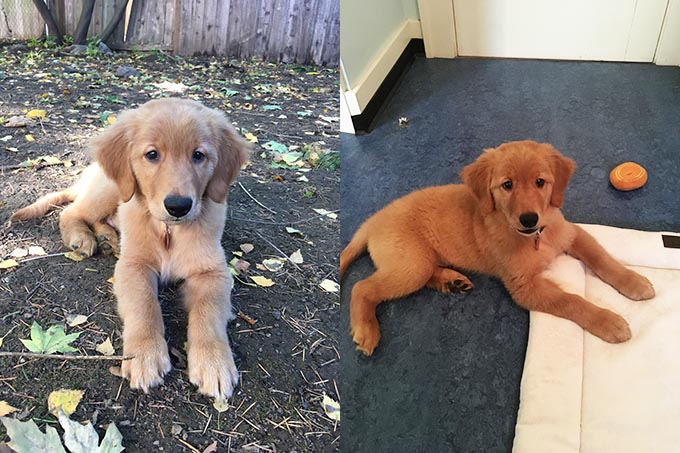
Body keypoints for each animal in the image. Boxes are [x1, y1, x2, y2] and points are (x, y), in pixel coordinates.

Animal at [11, 99, 251, 400]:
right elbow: (143, 304)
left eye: (199, 155)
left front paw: (214, 362)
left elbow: (208, 312)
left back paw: (107, 238)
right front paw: (145, 355)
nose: (178, 206)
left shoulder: (213, 271)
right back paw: (83, 238)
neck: (168, 232)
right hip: (109, 190)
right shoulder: (133, 265)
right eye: (152, 154)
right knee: (71, 211)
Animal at [342, 141, 656, 356]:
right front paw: (608, 321)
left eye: (540, 182)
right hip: (410, 263)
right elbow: (571, 301)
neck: (535, 238)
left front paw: (634, 281)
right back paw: (367, 330)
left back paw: (451, 281)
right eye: (507, 185)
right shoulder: (524, 287)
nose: (529, 219)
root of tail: (372, 221)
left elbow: (601, 258)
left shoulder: (570, 234)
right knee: (362, 287)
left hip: (416, 262)